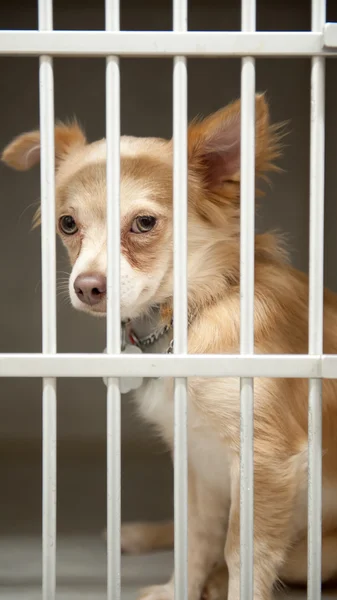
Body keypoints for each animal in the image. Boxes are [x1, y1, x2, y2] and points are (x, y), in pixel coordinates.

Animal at [3, 92, 336, 600]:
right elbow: (197, 536)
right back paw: (135, 535)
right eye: (67, 224)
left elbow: (241, 552)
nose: (86, 287)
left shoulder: (267, 459)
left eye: (144, 223)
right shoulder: (196, 461)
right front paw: (177, 588)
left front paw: (226, 585)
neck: (181, 319)